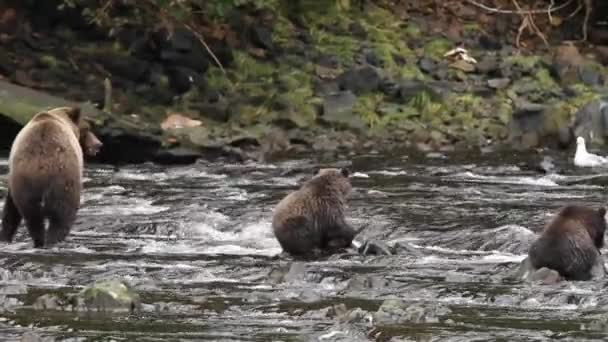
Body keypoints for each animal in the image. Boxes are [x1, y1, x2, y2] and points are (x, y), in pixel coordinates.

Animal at [0, 105, 102, 247]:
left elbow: (11, 208)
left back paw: (38, 241)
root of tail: (42, 167)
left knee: (32, 218)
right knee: (62, 216)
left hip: (24, 183)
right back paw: (53, 241)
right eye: (87, 129)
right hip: (64, 180)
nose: (98, 144)